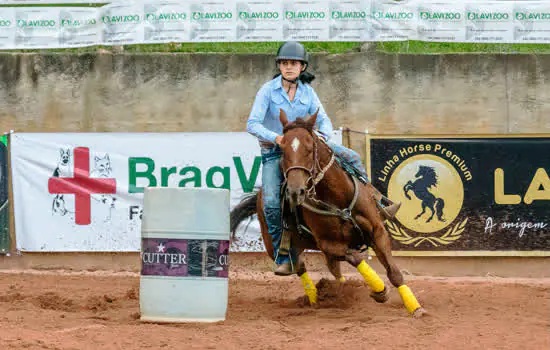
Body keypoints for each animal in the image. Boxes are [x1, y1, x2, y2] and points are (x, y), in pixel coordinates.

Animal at [231, 109, 430, 318]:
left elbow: (394, 272)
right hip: (274, 243)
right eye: (283, 149)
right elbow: (356, 257)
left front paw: (415, 308)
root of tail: (259, 195)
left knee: (334, 271)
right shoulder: (328, 244)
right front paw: (380, 290)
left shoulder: (377, 231)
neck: (338, 198)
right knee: (299, 265)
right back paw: (316, 297)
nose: (295, 192)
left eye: (310, 148)